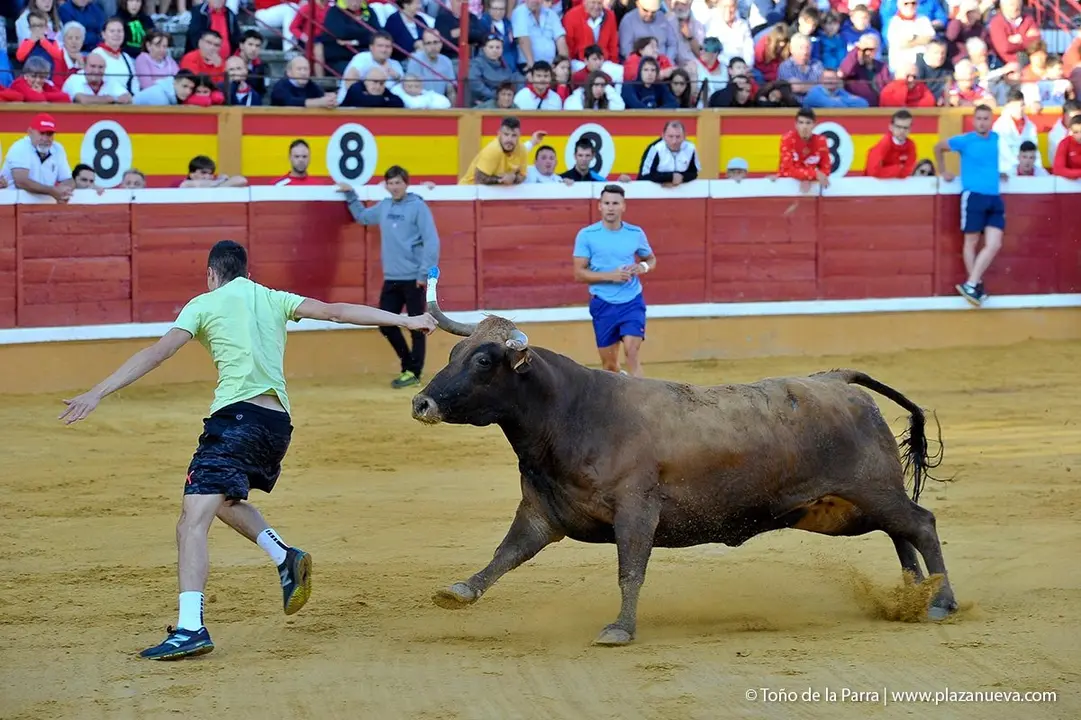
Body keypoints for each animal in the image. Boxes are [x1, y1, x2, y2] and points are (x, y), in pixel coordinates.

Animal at [410, 268, 957, 647]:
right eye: (452, 355)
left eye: (484, 360)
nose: (421, 403)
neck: (573, 412)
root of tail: (837, 380)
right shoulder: (542, 511)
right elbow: (505, 554)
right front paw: (459, 592)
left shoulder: (636, 511)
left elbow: (630, 569)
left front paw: (620, 629)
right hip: (841, 509)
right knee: (899, 533)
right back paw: (912, 598)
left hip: (870, 488)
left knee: (921, 524)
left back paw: (941, 602)